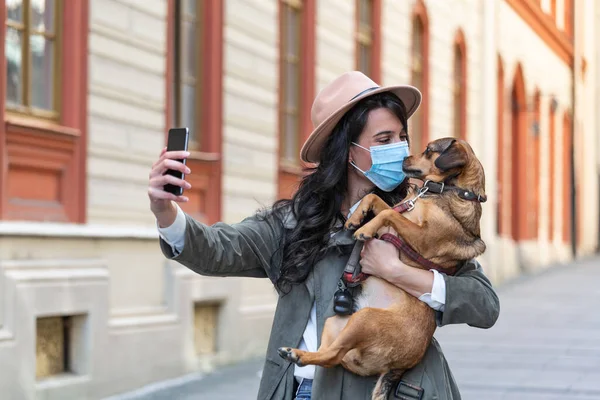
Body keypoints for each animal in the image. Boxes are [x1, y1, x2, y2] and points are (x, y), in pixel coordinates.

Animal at [276, 138, 488, 400]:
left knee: (332, 356)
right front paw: (356, 218)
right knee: (332, 354)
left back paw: (296, 354)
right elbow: (375, 201)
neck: (448, 191)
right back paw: (298, 354)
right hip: (336, 322)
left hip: (364, 318)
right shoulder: (403, 210)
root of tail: (397, 368)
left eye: (429, 151)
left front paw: (365, 229)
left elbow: (387, 212)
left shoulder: (423, 238)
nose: (404, 158)